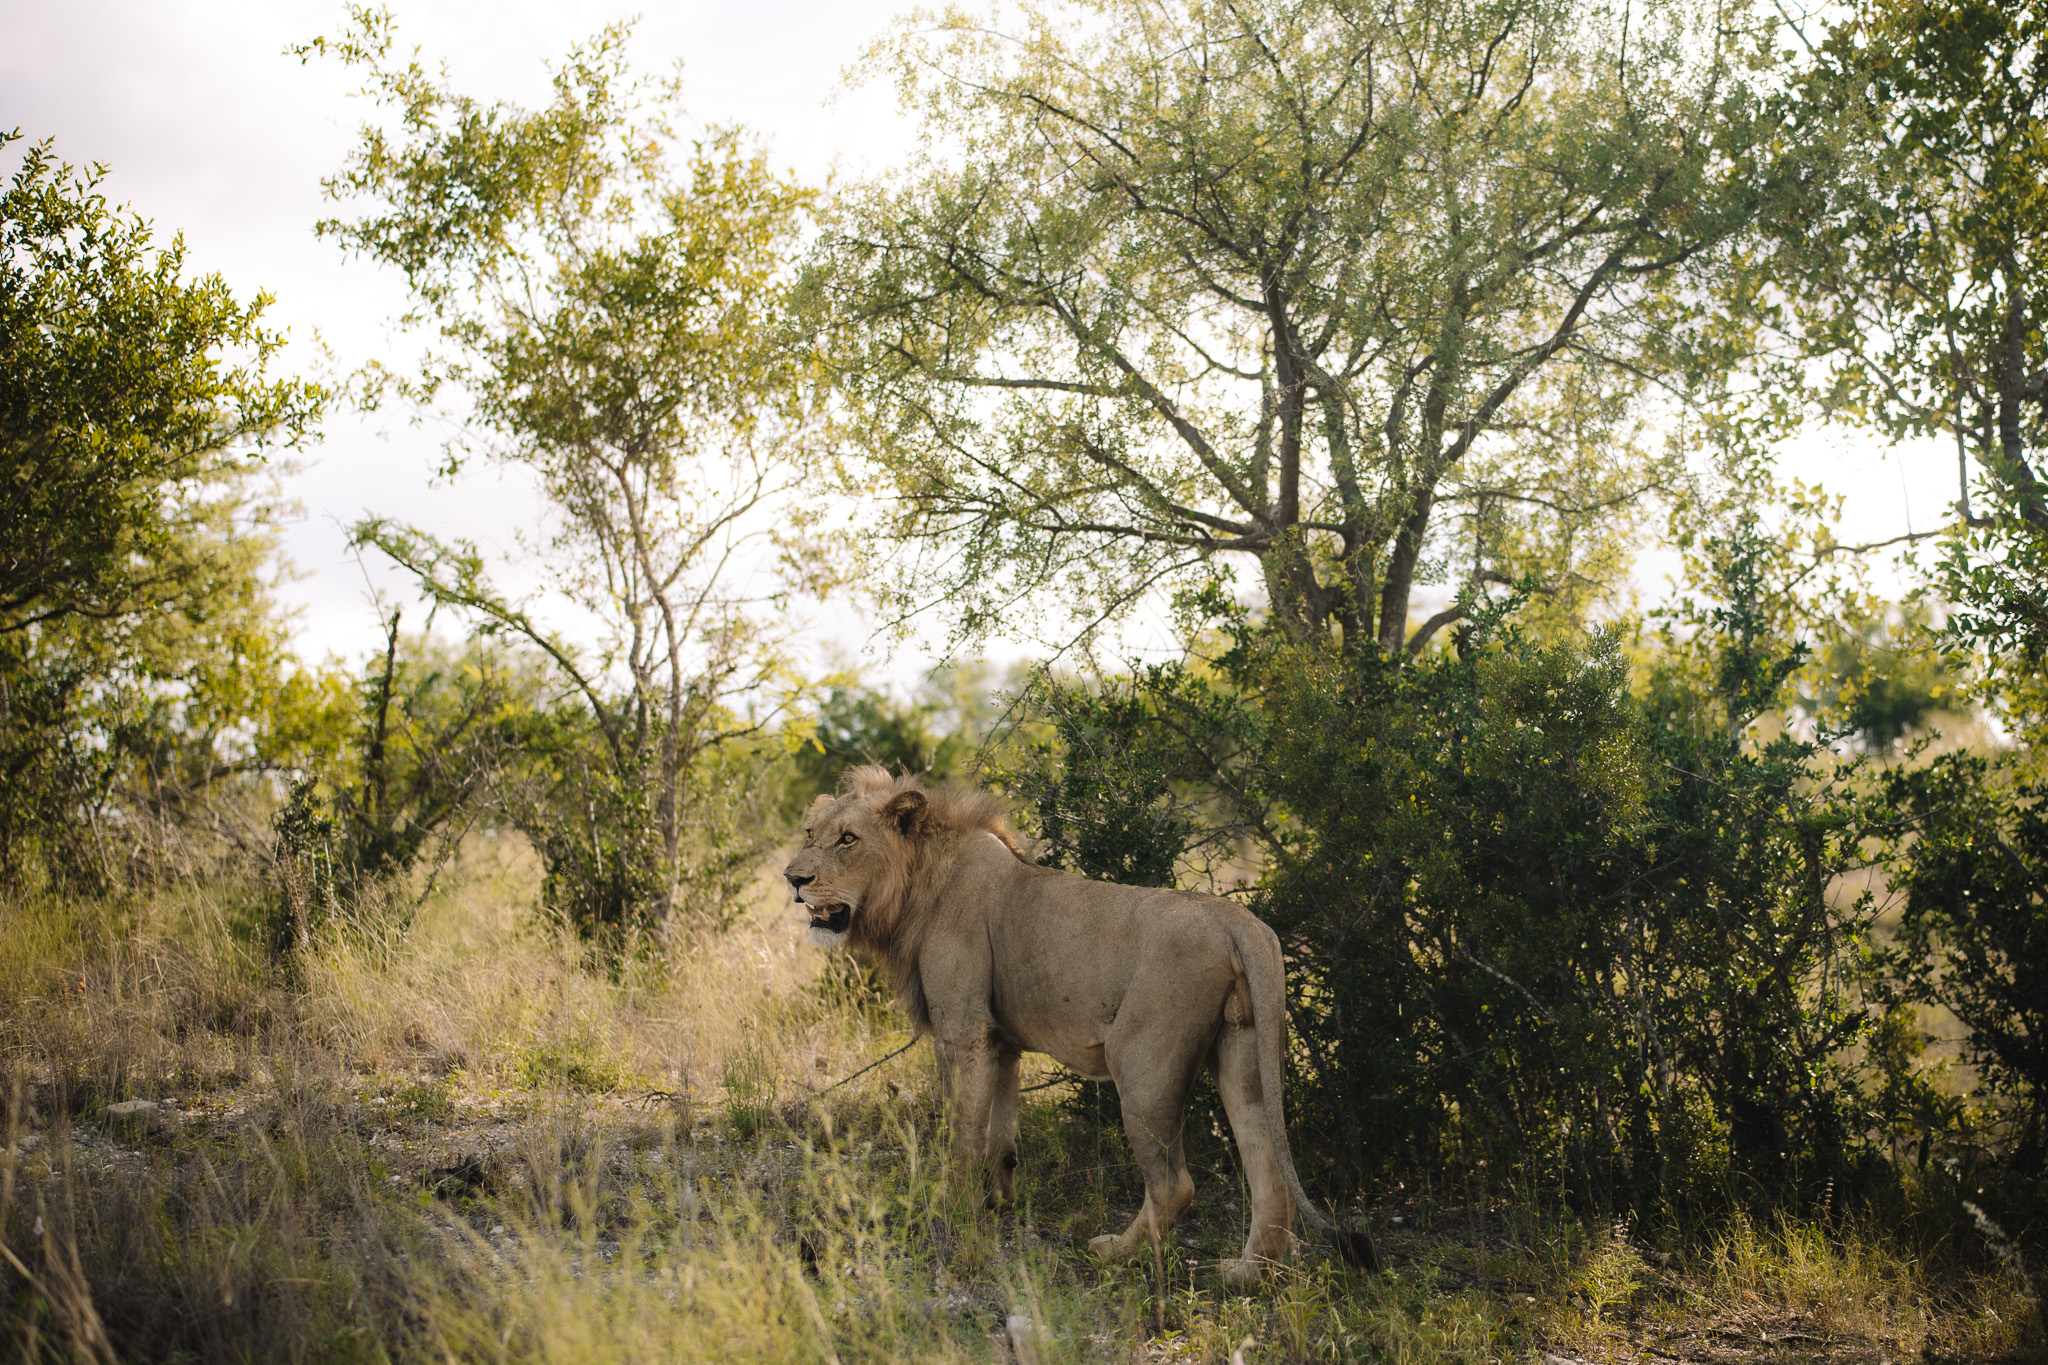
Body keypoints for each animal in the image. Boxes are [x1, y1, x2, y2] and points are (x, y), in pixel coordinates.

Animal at [782, 765, 1376, 1285]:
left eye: (848, 840)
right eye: (811, 833)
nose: (793, 879)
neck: (916, 884)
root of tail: (1239, 920)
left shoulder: (963, 1029)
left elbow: (963, 1133)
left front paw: (952, 1210)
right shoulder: (1000, 1040)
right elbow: (1000, 1134)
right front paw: (999, 1203)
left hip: (1142, 1062)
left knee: (1175, 1185)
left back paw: (1114, 1252)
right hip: (1243, 1054)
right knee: (1269, 1171)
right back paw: (1246, 1274)